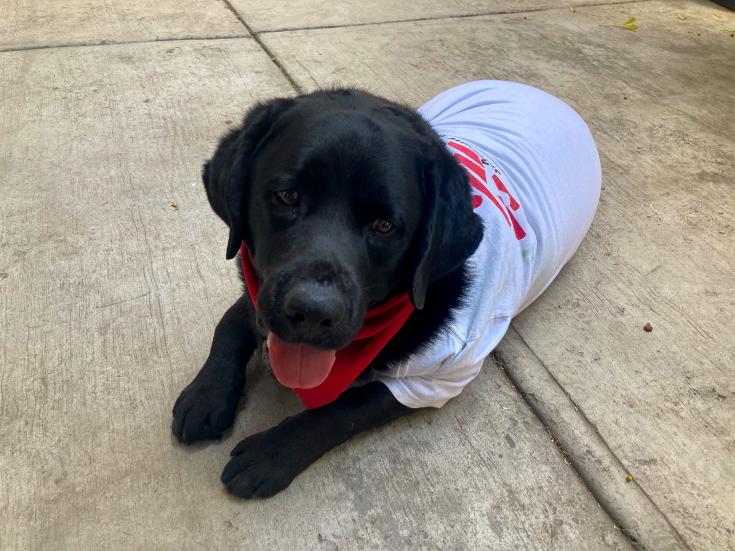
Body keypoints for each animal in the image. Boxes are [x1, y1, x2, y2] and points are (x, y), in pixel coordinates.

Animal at [172, 88, 484, 498]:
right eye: (287, 196)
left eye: (384, 225)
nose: (312, 312)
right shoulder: (260, 291)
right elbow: (229, 324)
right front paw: (206, 394)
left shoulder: (438, 378)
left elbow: (343, 408)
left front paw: (272, 453)